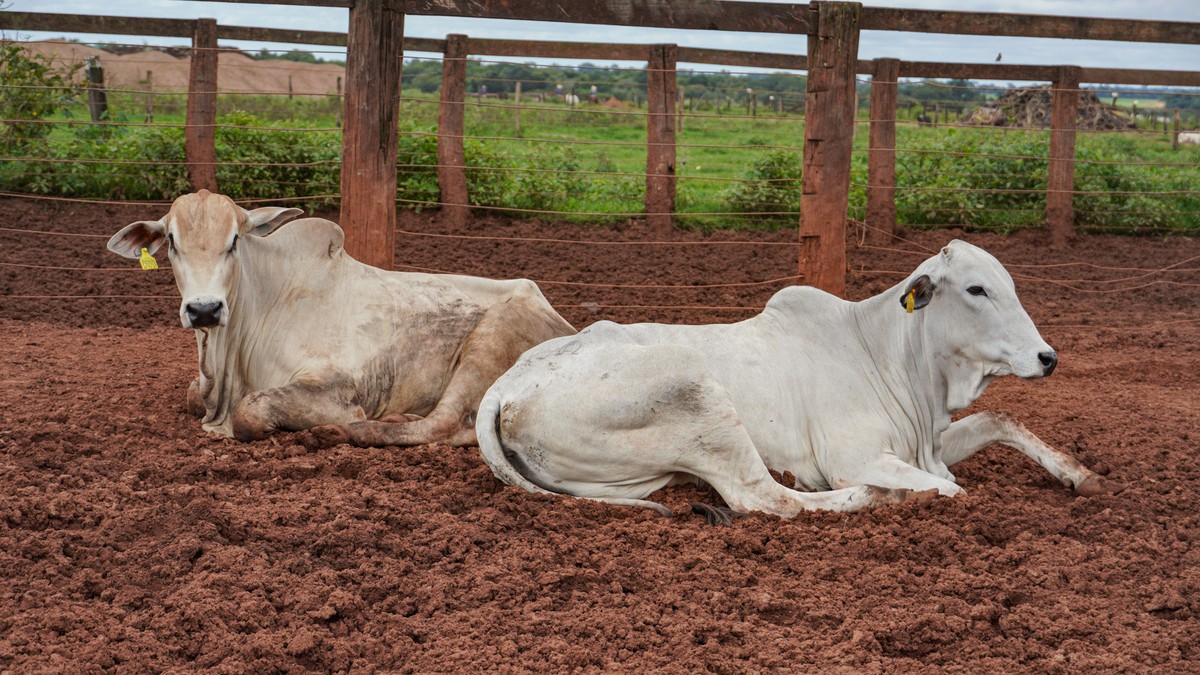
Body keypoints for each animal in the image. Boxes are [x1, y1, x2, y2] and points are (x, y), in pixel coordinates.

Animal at [107, 190, 575, 445]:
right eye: (171, 241)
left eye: (235, 241)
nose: (204, 309)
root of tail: (559, 319)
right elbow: (192, 394)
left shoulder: (339, 386)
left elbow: (250, 411)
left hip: (493, 335)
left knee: (443, 426)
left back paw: (351, 432)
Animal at [476, 240, 1119, 519]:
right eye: (977, 289)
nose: (1047, 357)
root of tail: (507, 386)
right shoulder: (856, 456)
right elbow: (951, 490)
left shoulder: (933, 441)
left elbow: (999, 418)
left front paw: (1081, 475)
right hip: (700, 395)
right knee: (764, 497)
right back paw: (875, 497)